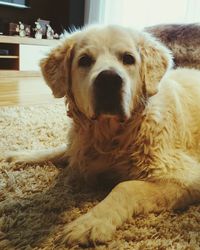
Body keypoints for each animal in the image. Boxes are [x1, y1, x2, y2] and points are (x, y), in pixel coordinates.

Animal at [5, 25, 200, 246]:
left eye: (128, 59)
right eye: (84, 60)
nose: (109, 80)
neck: (110, 136)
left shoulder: (185, 177)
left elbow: (125, 187)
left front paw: (91, 222)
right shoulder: (80, 146)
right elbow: (61, 150)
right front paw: (21, 155)